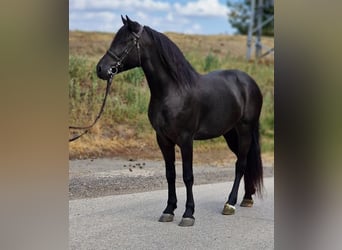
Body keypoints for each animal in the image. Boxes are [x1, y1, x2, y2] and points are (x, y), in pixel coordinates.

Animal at [97, 15, 264, 227]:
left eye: (126, 41)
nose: (101, 69)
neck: (173, 91)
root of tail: (250, 82)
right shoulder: (163, 139)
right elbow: (170, 174)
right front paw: (169, 210)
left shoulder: (186, 139)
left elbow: (187, 176)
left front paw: (188, 214)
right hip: (230, 133)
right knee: (246, 161)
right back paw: (247, 198)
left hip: (244, 130)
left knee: (241, 164)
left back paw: (230, 204)